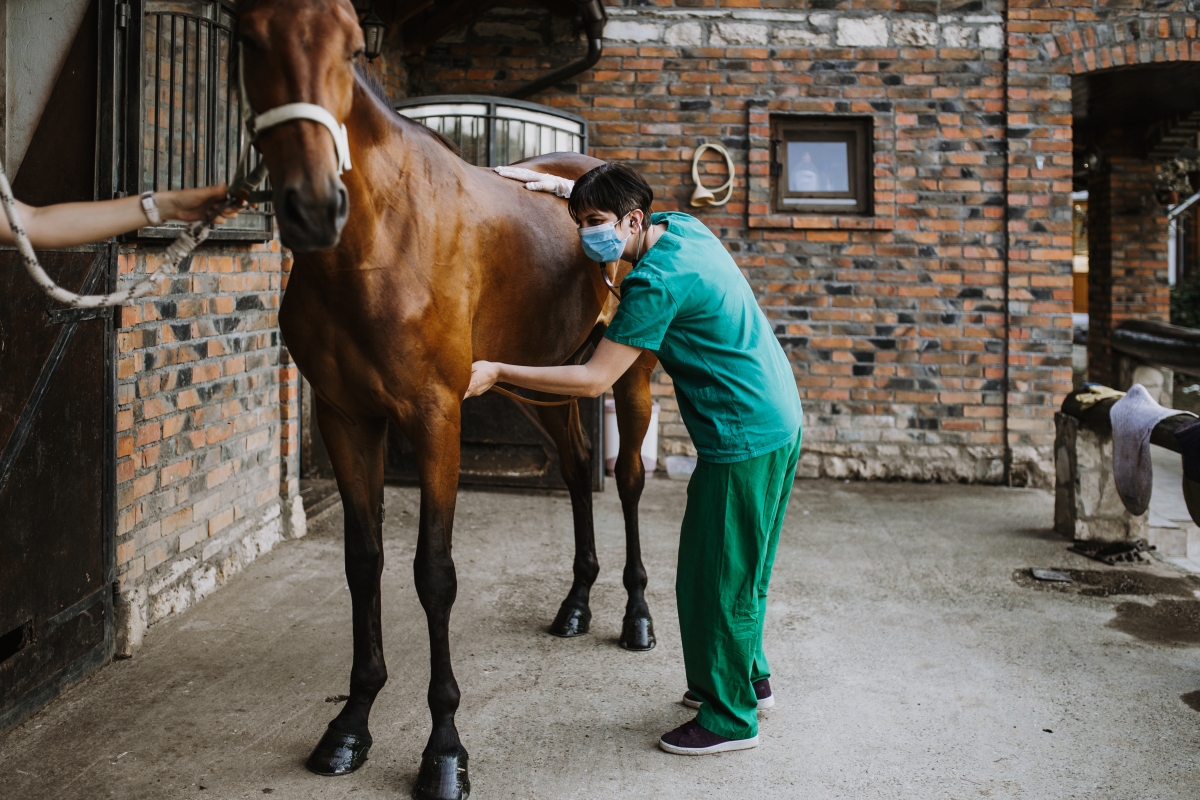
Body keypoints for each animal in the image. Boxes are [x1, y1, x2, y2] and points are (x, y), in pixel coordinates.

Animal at [240, 0, 662, 796]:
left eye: (352, 49)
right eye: (249, 41)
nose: (311, 204)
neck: (373, 246)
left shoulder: (435, 417)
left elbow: (433, 575)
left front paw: (443, 751)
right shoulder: (347, 418)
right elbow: (364, 562)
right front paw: (350, 726)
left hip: (630, 377)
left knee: (624, 479)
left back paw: (636, 615)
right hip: (542, 384)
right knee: (574, 465)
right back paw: (576, 604)